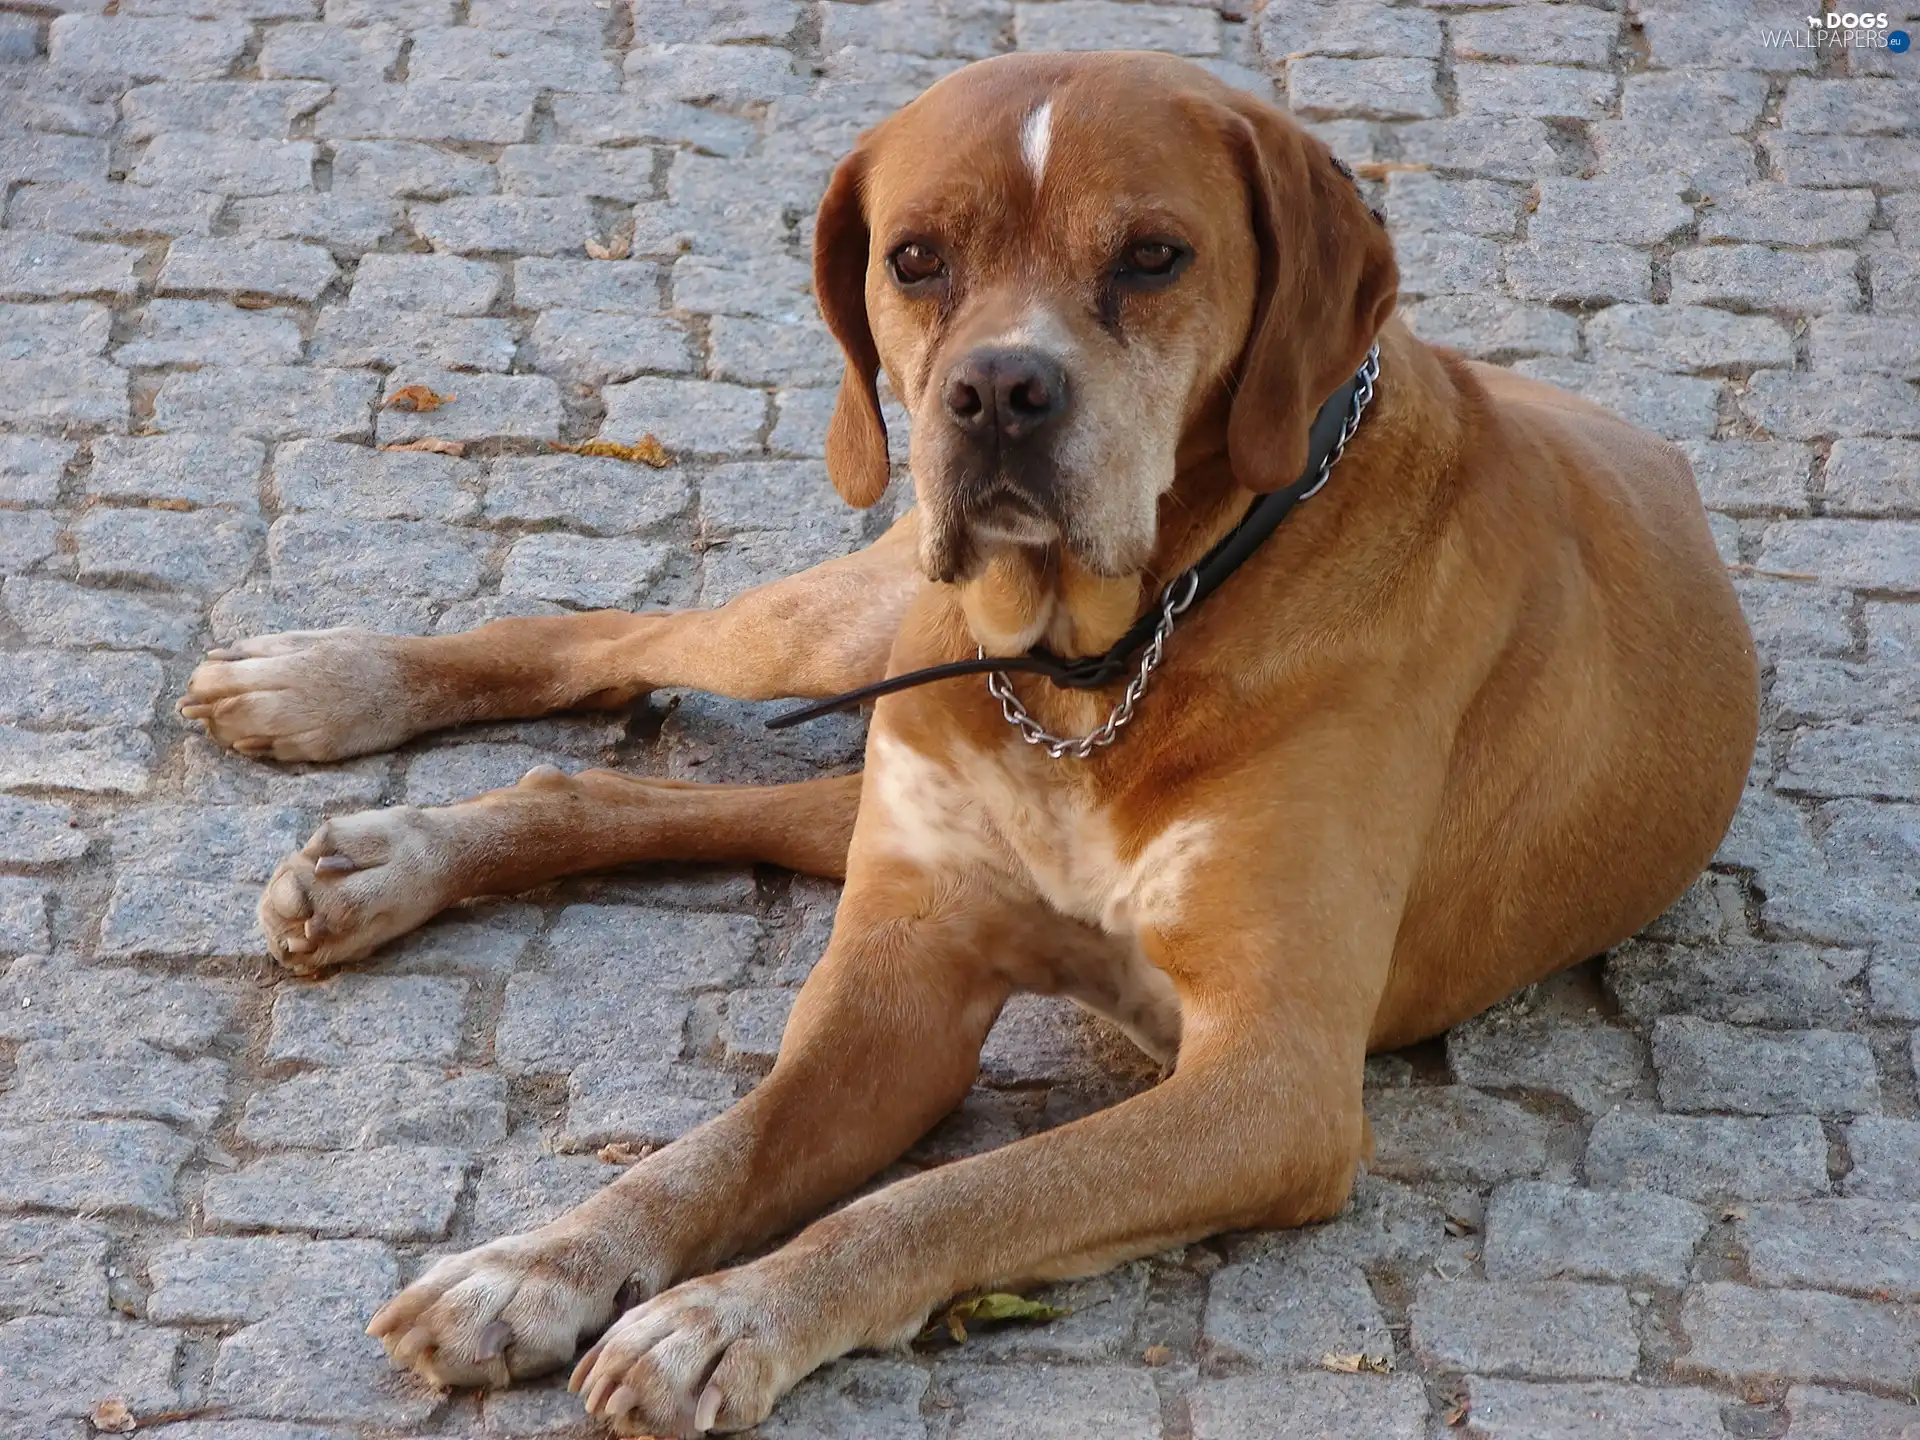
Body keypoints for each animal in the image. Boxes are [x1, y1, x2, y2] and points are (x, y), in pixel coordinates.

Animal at [176, 48, 1758, 1440]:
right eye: (917, 257)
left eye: (1154, 257)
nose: (998, 390)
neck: (1096, 667)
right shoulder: (901, 990)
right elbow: (717, 1151)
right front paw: (540, 1262)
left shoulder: (1272, 1086)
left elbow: (946, 1197)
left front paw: (727, 1317)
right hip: (855, 634)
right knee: (620, 644)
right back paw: (337, 700)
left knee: (665, 791)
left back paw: (387, 852)